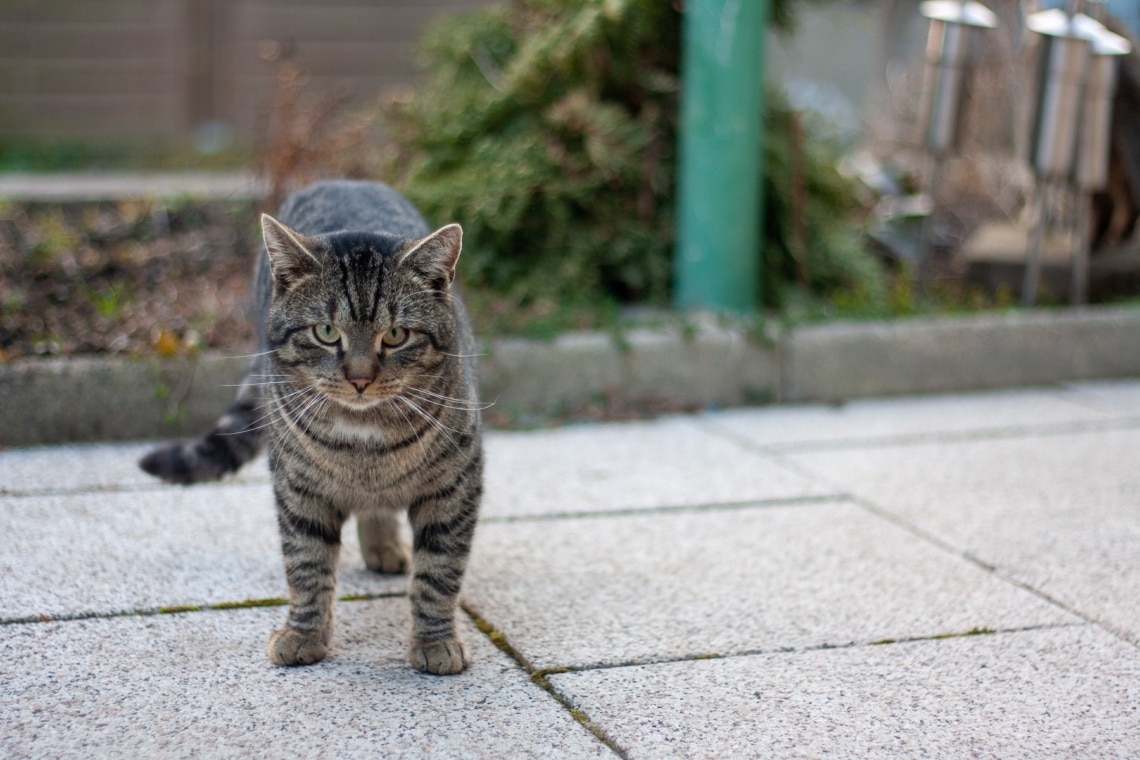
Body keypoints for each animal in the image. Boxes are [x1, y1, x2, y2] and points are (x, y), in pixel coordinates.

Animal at [140, 180, 483, 679]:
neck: (365, 443)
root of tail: (344, 180)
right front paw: (303, 634)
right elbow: (306, 564)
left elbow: (439, 572)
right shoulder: (299, 488)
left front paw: (435, 641)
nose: (360, 378)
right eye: (325, 332)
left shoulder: (455, 487)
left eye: (395, 335)